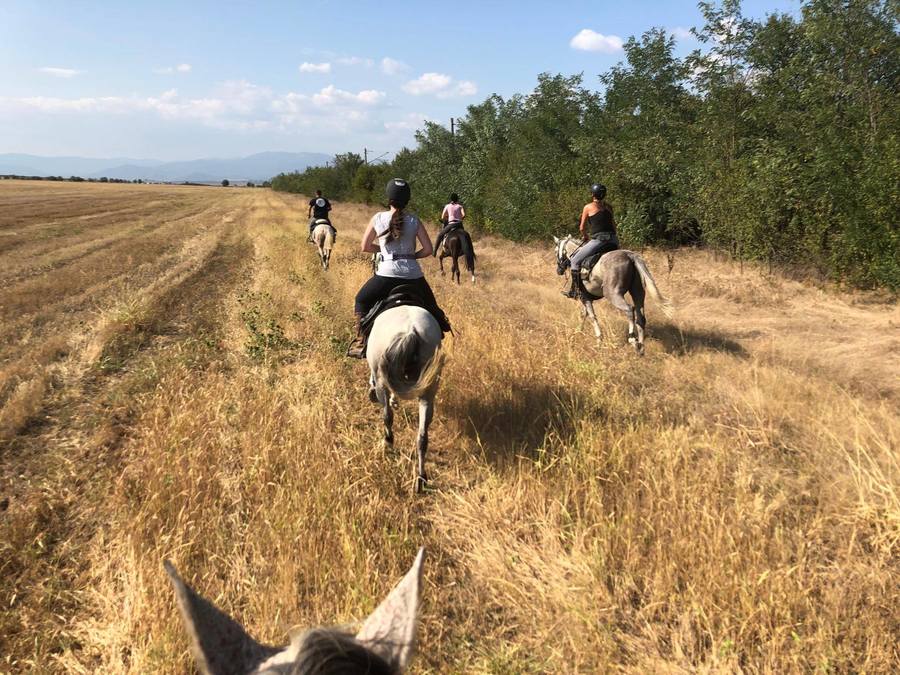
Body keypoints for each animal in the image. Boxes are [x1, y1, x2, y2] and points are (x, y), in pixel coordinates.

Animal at [368, 304, 444, 492]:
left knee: (387, 416)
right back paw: (421, 478)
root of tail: (411, 330)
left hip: (382, 380)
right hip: (428, 389)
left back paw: (388, 442)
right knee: (422, 435)